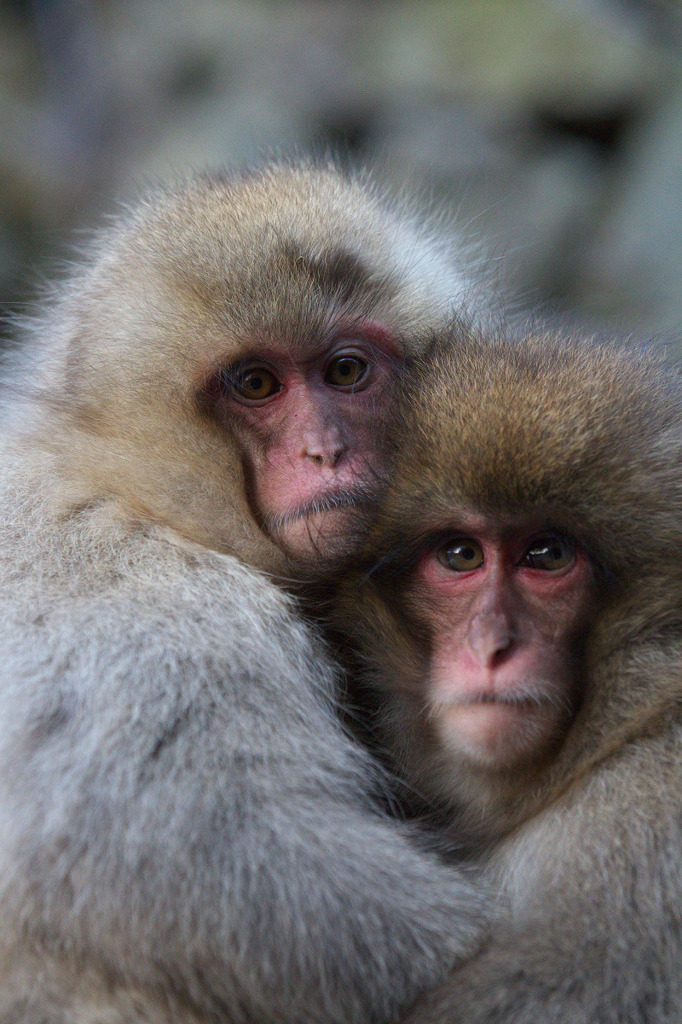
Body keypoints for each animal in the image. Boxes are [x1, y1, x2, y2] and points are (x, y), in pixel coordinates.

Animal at [0, 159, 489, 1024]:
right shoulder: (160, 612)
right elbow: (231, 869)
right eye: (257, 384)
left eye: (347, 371)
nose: (326, 452)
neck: (134, 485)